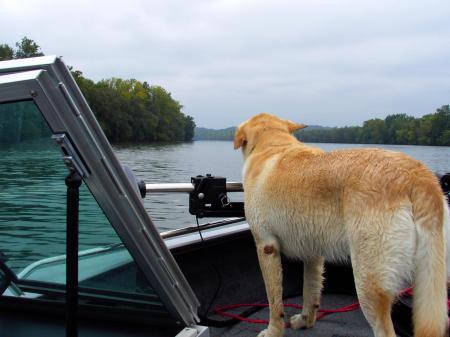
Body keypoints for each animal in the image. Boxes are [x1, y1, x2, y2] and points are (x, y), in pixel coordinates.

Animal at [234, 113, 448, 336]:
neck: (273, 145)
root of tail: (417, 176)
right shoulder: (313, 253)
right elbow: (310, 290)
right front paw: (306, 320)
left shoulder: (266, 247)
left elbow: (275, 303)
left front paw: (273, 331)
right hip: (431, 279)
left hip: (368, 282)